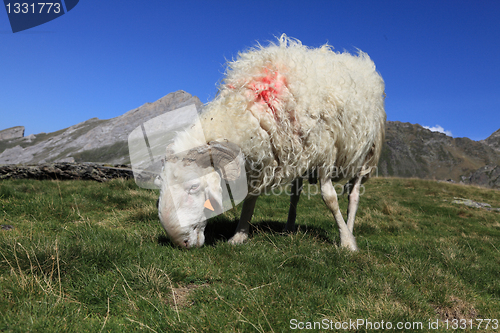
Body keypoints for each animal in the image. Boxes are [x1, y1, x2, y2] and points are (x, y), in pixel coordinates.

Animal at [158, 35, 384, 250]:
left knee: (354, 195)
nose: (180, 242)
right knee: (295, 194)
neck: (249, 107)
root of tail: (359, 59)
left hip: (366, 155)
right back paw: (289, 228)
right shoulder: (266, 153)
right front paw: (239, 235)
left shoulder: (324, 151)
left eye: (194, 187)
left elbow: (329, 198)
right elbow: (251, 197)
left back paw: (350, 228)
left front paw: (346, 242)